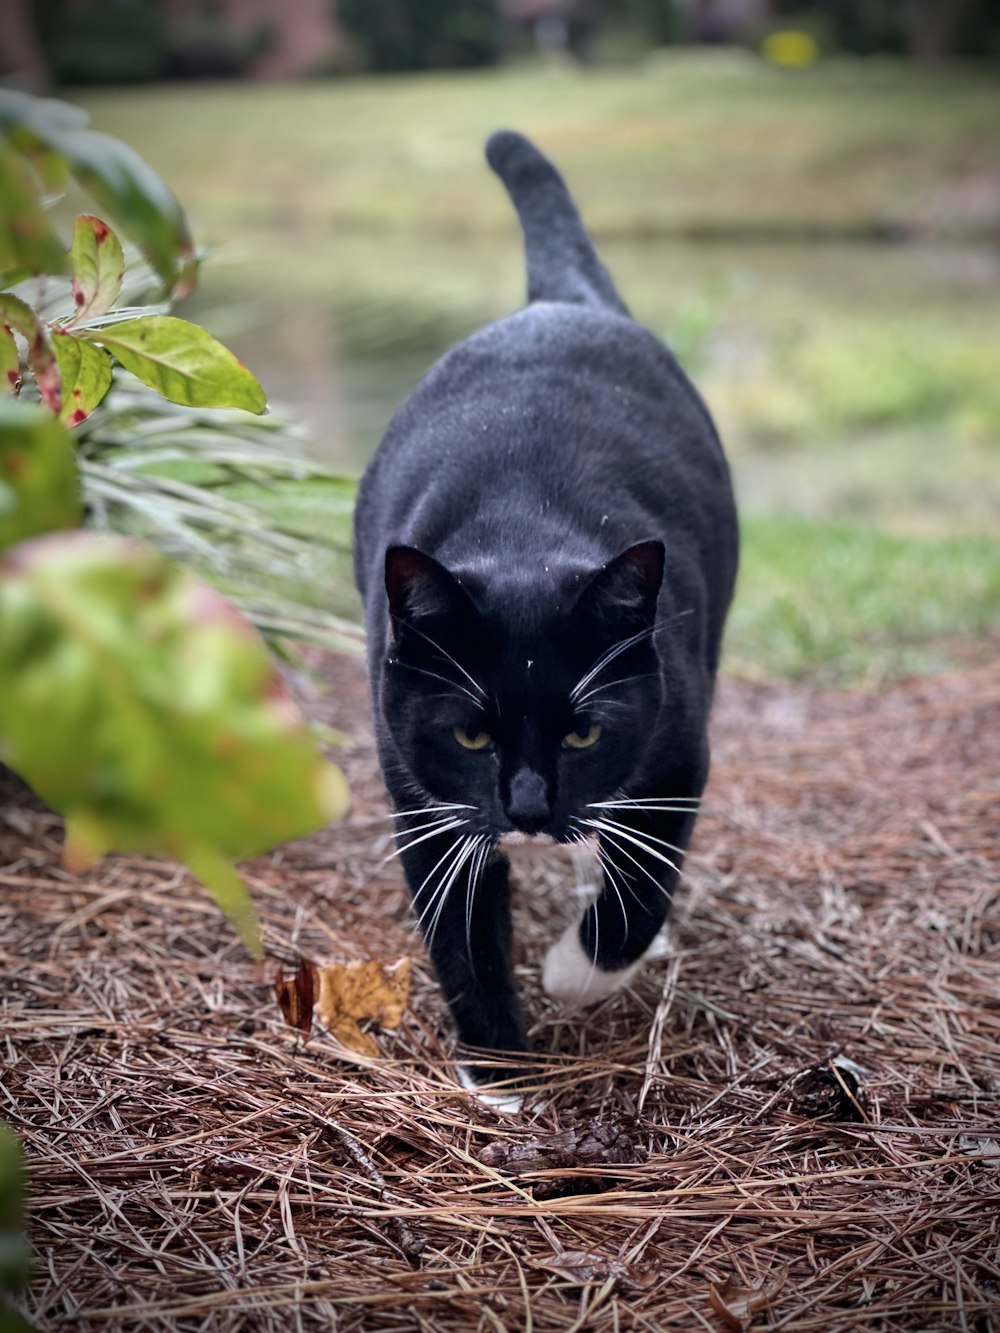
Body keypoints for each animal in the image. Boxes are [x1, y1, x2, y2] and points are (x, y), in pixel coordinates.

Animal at [357, 129, 741, 1098]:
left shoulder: (677, 746)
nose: (529, 807)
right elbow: (461, 930)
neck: (524, 524)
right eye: (469, 734)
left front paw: (574, 971)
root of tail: (557, 303)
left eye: (582, 732)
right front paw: (498, 1067)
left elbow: (639, 891)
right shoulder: (418, 787)